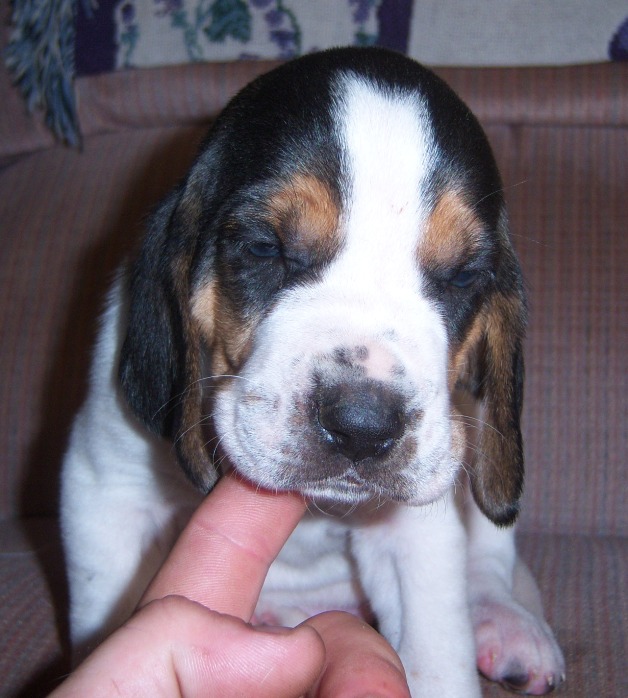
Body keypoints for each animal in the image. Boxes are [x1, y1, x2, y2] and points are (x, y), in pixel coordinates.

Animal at [61, 47, 565, 696]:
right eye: (263, 247)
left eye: (461, 276)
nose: (363, 426)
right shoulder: (104, 489)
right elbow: (107, 609)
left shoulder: (417, 537)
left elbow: (437, 652)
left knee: (491, 560)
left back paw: (507, 622)